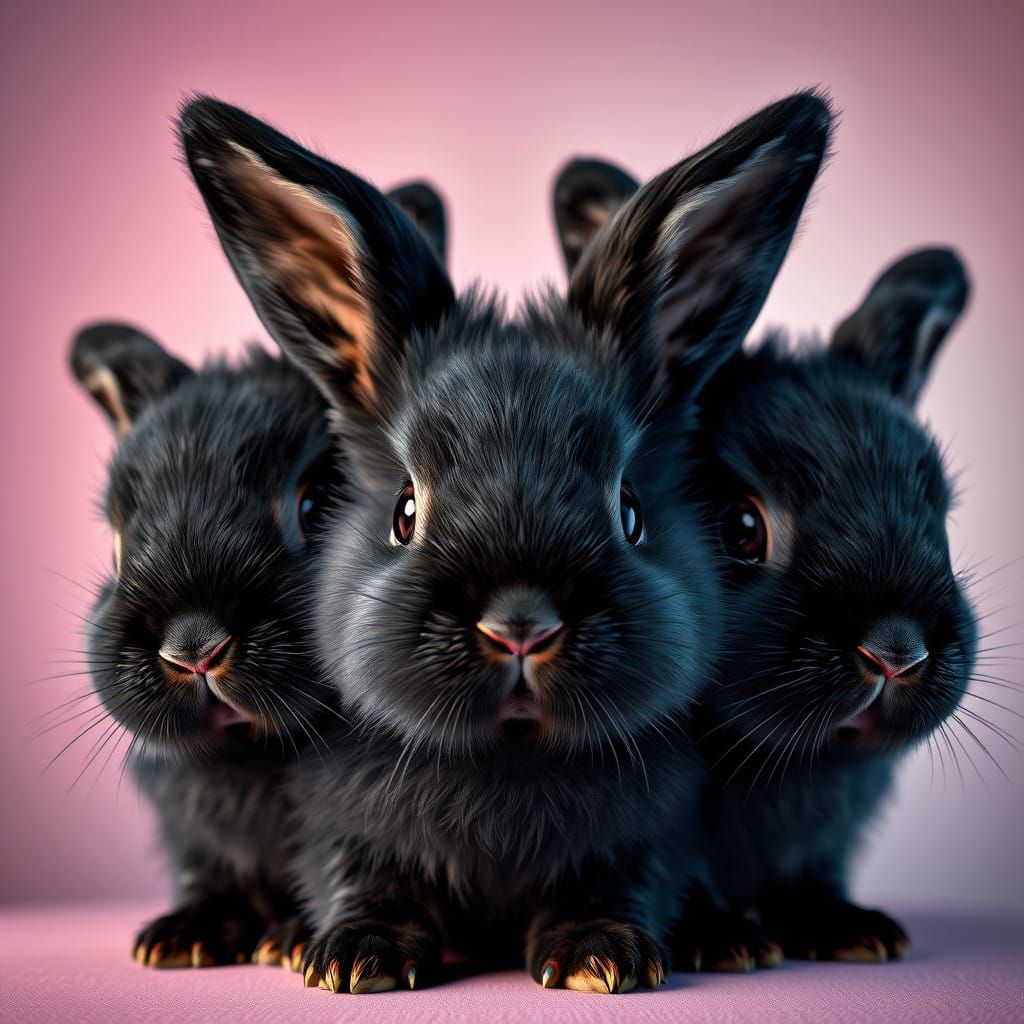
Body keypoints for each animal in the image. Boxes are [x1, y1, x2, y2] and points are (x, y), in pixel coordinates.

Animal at [70, 324, 345, 970]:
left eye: (317, 504)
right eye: (118, 542)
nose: (193, 649)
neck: (253, 755)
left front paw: (296, 942)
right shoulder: (193, 831)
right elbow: (209, 872)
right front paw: (180, 937)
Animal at [178, 90, 831, 993]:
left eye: (630, 511)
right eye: (405, 511)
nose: (520, 627)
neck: (510, 754)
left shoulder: (645, 833)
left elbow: (616, 881)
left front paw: (599, 957)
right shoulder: (341, 821)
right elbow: (364, 874)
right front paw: (357, 958)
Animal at [552, 164, 977, 966]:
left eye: (935, 512)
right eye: (742, 527)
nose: (896, 652)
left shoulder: (819, 835)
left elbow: (805, 872)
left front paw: (851, 930)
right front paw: (720, 941)